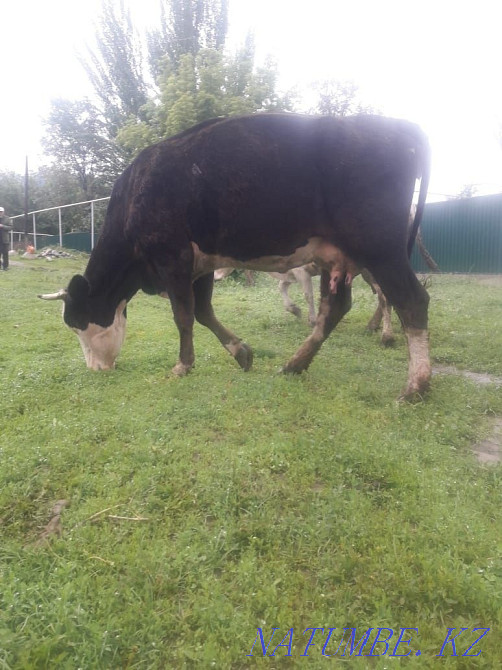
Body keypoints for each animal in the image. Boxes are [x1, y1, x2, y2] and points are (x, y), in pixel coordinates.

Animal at [39, 113, 431, 398]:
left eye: (76, 322)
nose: (95, 370)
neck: (135, 194)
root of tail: (401, 128)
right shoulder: (201, 265)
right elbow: (203, 312)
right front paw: (241, 351)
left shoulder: (173, 258)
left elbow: (184, 316)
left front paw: (183, 365)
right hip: (340, 256)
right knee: (335, 308)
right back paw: (294, 364)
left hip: (381, 248)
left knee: (411, 300)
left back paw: (416, 384)